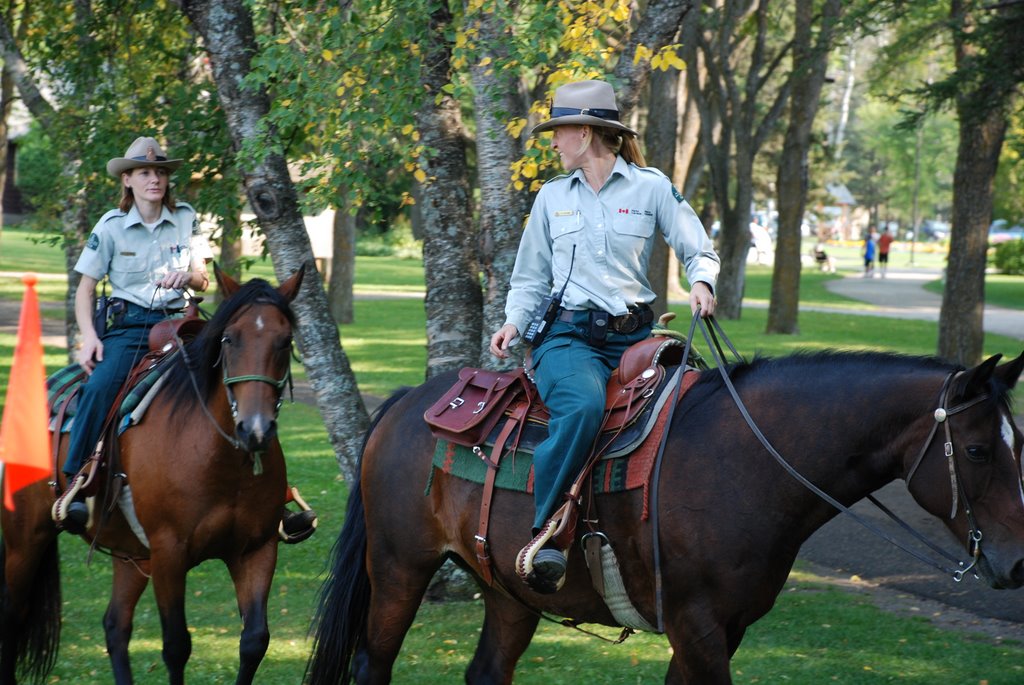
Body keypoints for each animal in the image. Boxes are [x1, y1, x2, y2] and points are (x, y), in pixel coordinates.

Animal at [1, 264, 303, 679]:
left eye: (285, 341)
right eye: (229, 339)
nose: (255, 429)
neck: (221, 458)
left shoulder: (257, 550)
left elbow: (255, 641)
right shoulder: (169, 552)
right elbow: (176, 646)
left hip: (131, 553)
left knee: (115, 625)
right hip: (25, 539)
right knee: (13, 616)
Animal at [307, 350, 1024, 679]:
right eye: (979, 449)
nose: (1016, 562)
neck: (744, 463)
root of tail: (409, 401)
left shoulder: (721, 631)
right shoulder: (697, 626)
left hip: (509, 592)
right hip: (399, 569)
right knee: (373, 664)